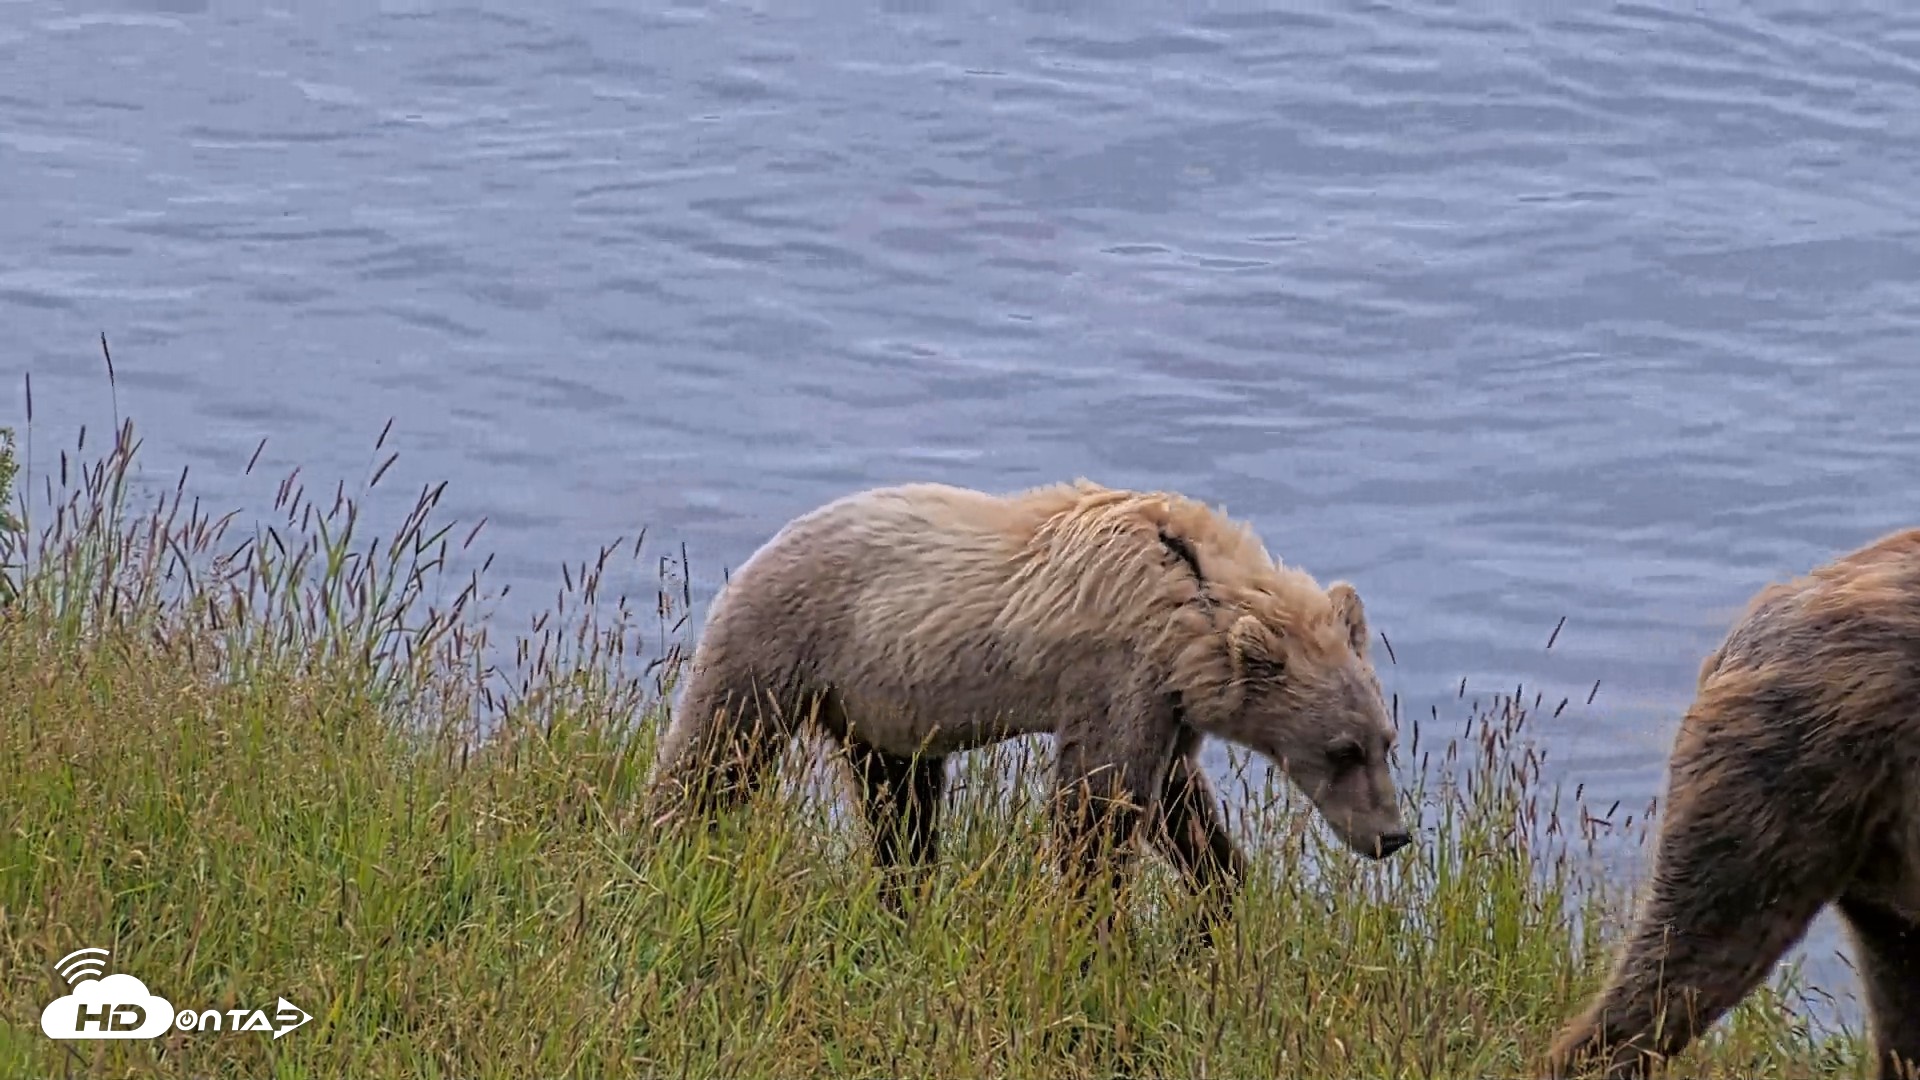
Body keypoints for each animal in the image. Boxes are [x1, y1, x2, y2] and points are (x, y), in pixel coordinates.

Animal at [640, 478, 1412, 932]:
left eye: (1386, 741)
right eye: (1341, 750)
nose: (1392, 835)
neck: (1191, 604)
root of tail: (758, 553)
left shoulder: (1170, 704)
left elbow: (1174, 798)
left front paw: (1217, 888)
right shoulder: (1117, 671)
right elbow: (1098, 804)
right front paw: (1096, 920)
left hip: (880, 707)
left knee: (900, 808)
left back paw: (905, 899)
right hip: (784, 649)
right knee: (715, 755)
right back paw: (662, 842)